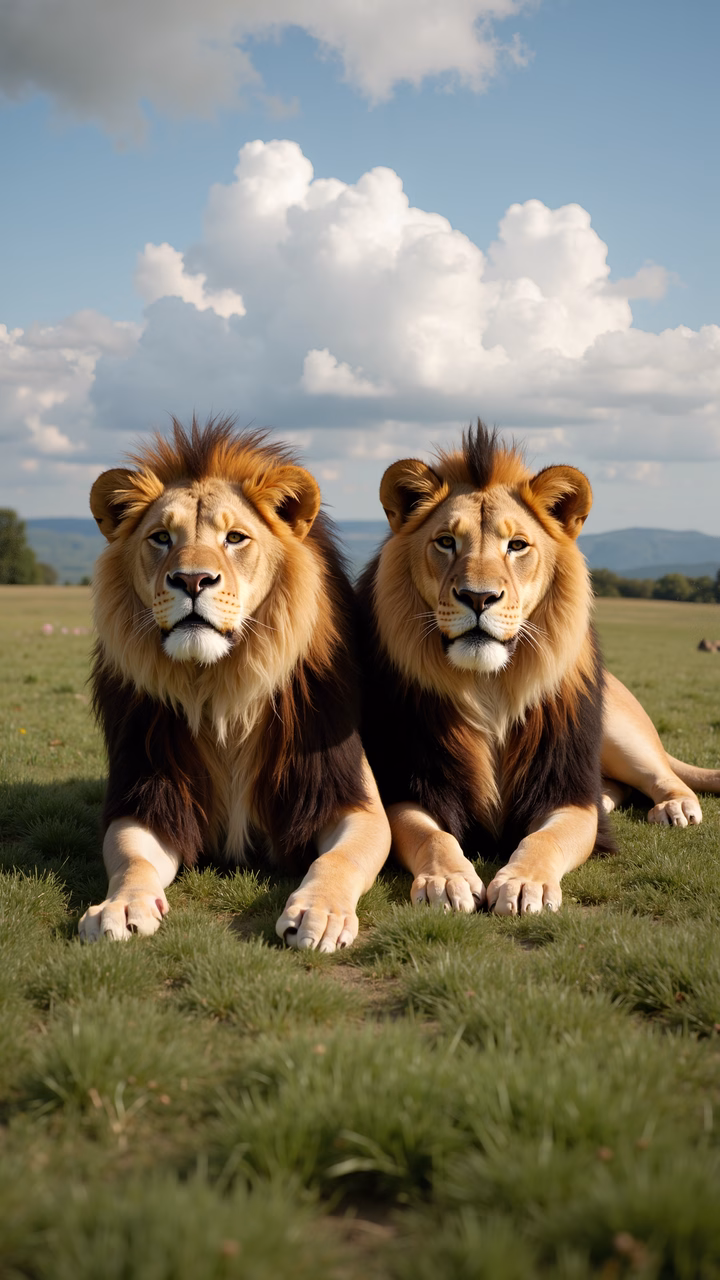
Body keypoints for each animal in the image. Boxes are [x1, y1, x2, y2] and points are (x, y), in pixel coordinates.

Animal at [79, 417, 390, 949]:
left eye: (235, 538)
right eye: (161, 538)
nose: (192, 580)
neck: (219, 687)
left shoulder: (348, 795)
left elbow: (338, 858)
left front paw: (320, 912)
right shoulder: (147, 797)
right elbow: (133, 860)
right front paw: (120, 906)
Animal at [356, 422, 720, 916]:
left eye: (517, 545)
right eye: (446, 542)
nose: (478, 597)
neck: (489, 687)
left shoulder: (566, 792)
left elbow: (545, 839)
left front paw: (524, 883)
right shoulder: (408, 785)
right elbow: (432, 836)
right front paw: (447, 880)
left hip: (619, 731)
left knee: (665, 774)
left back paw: (675, 807)